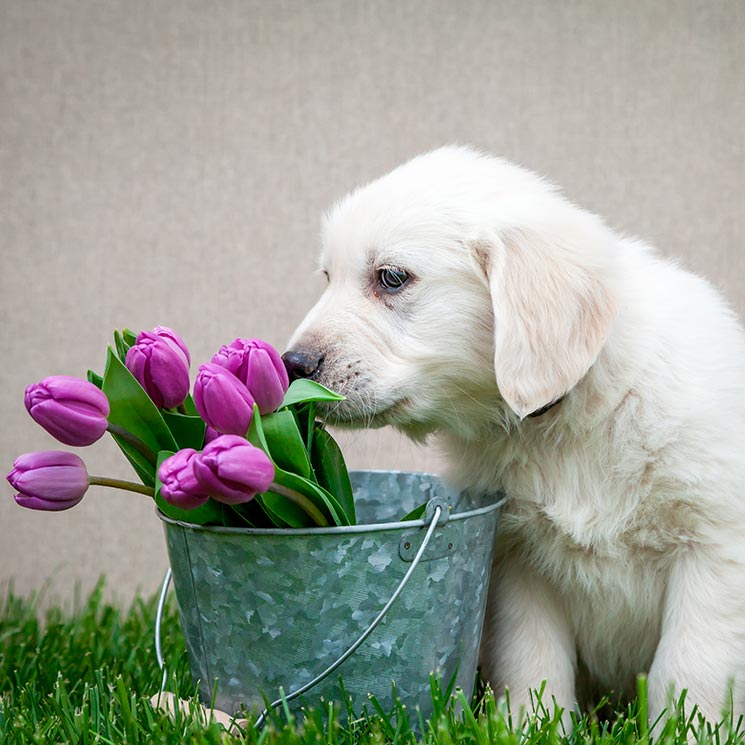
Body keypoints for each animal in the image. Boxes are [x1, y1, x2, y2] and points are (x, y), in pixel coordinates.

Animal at [284, 145, 744, 720]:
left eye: (391, 278)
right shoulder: (518, 558)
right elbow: (533, 662)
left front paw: (688, 728)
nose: (292, 364)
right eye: (328, 276)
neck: (569, 421)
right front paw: (531, 725)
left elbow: (687, 669)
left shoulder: (715, 549)